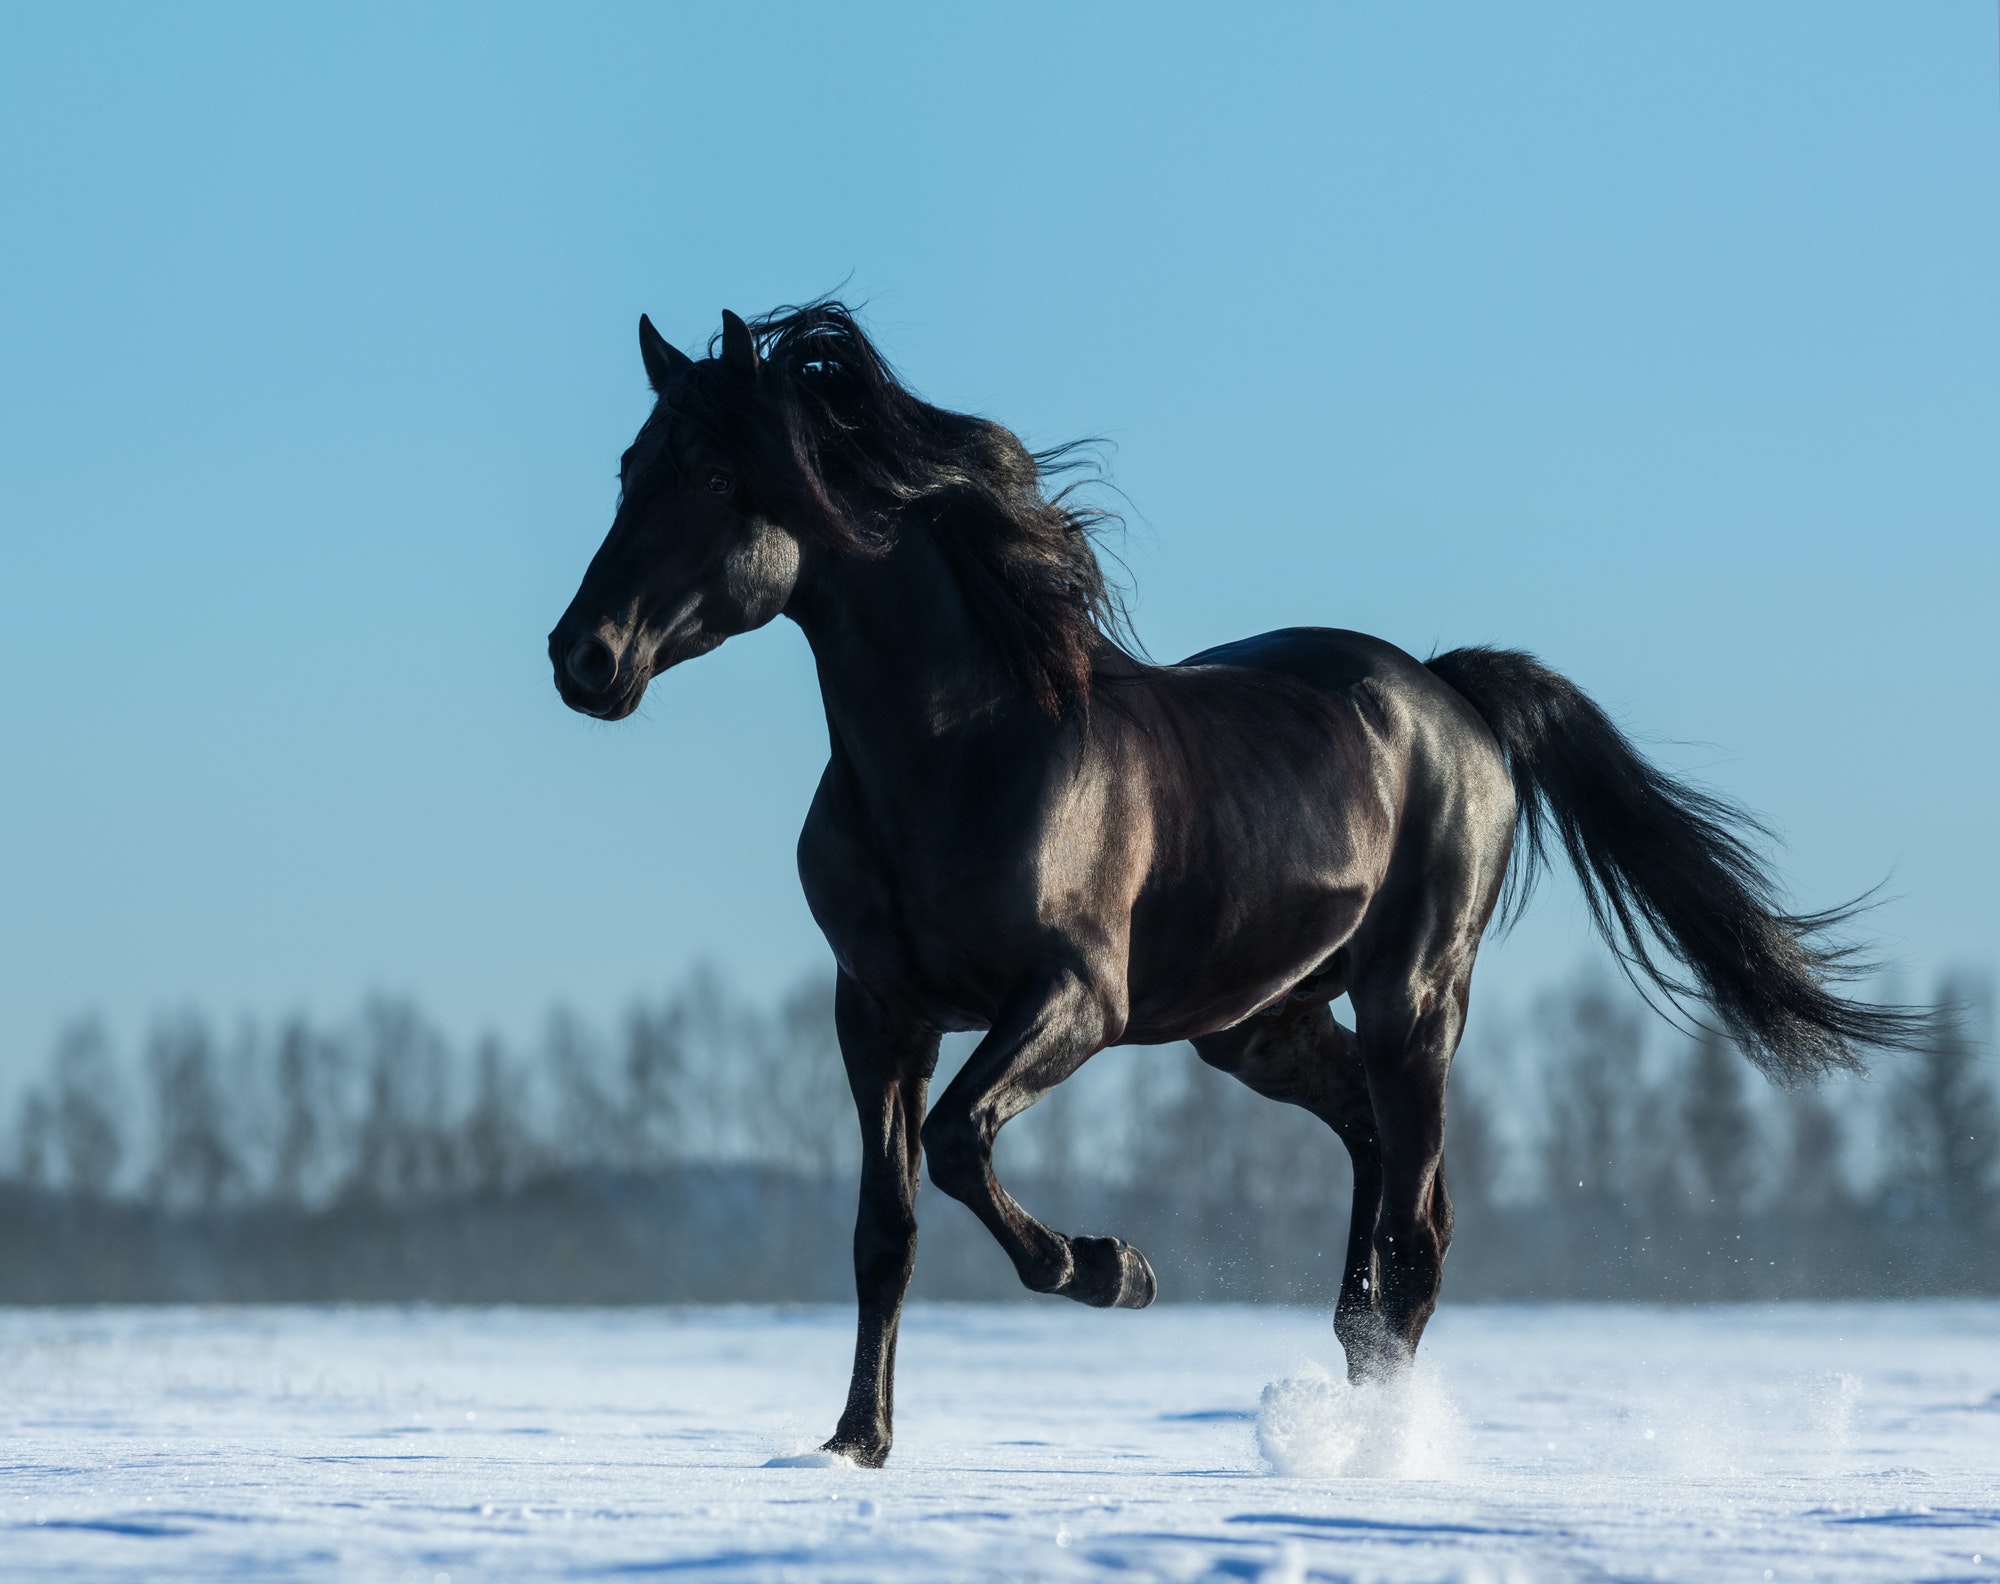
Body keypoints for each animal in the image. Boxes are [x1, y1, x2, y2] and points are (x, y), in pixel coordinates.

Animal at [552, 304, 1920, 1464]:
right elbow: (883, 1228)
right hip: (1258, 1026)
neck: (955, 753)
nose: (582, 658)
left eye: (716, 478)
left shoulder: (1071, 1002)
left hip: (1413, 998)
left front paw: (1112, 1269)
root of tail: (1447, 693)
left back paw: (1376, 1451)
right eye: (627, 469)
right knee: (1371, 1172)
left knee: (1416, 1229)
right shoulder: (877, 1011)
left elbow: (955, 1144)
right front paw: (853, 1447)